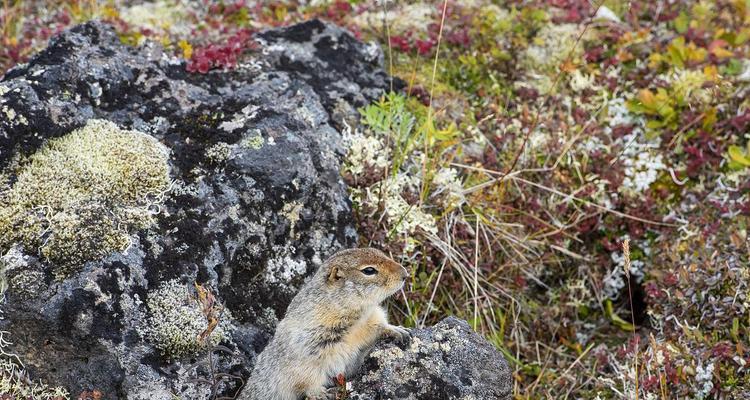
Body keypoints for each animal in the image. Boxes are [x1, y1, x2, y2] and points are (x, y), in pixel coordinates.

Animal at [241, 247, 412, 400]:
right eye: (369, 270)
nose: (405, 274)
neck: (356, 319)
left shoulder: (370, 320)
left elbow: (376, 329)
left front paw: (398, 331)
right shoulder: (307, 347)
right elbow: (305, 377)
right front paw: (321, 393)